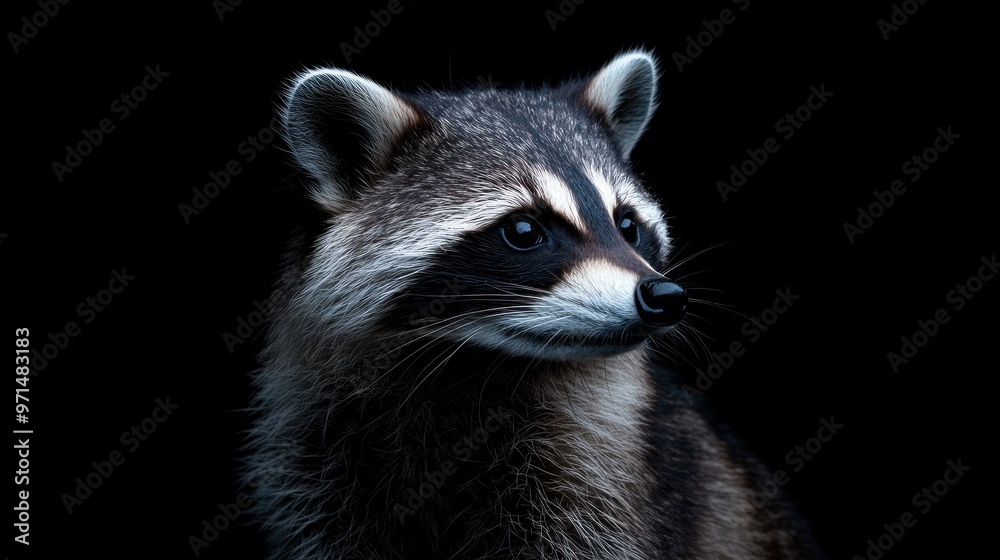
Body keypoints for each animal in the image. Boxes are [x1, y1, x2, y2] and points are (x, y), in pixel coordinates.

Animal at [245, 51, 825, 559]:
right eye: (524, 231)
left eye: (627, 225)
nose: (664, 296)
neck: (472, 364)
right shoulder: (310, 464)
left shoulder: (603, 481)